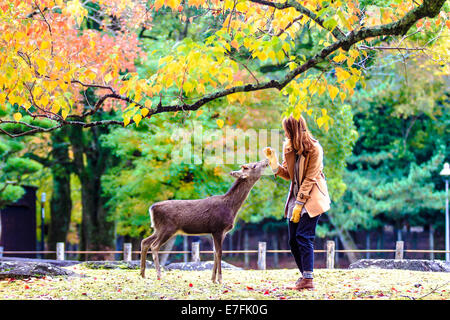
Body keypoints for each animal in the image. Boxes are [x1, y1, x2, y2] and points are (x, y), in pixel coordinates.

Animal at [139, 158, 268, 282]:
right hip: (167, 228)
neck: (231, 208)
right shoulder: (217, 228)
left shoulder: (222, 232)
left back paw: (143, 274)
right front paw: (220, 280)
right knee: (154, 246)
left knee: (145, 242)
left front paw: (213, 279)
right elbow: (219, 253)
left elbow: (215, 252)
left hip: (158, 228)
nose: (266, 161)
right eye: (254, 165)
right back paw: (158, 274)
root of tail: (152, 208)